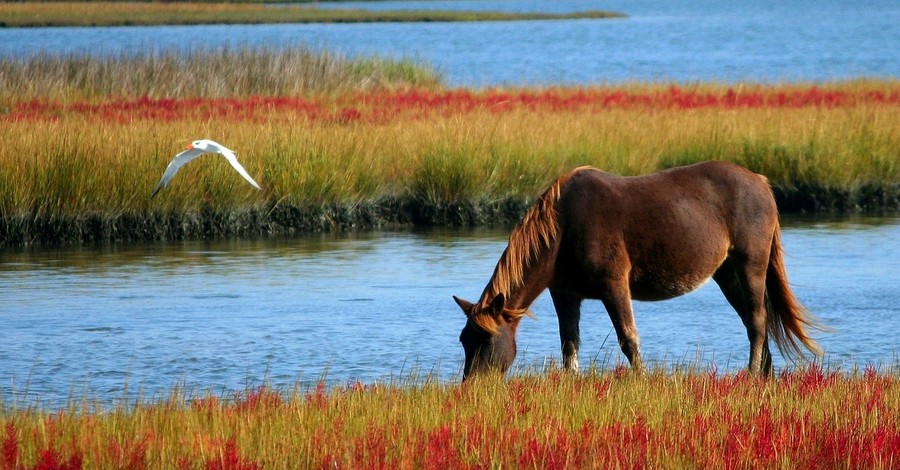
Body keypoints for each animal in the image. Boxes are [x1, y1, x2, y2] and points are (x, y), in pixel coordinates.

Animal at [458, 161, 824, 378]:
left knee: (758, 321)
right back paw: (763, 375)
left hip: (751, 264)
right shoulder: (565, 294)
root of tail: (761, 183)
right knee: (753, 321)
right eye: (464, 340)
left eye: (486, 341)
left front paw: (640, 381)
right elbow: (569, 344)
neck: (563, 228)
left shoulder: (614, 285)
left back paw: (751, 375)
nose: (472, 387)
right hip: (727, 274)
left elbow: (628, 339)